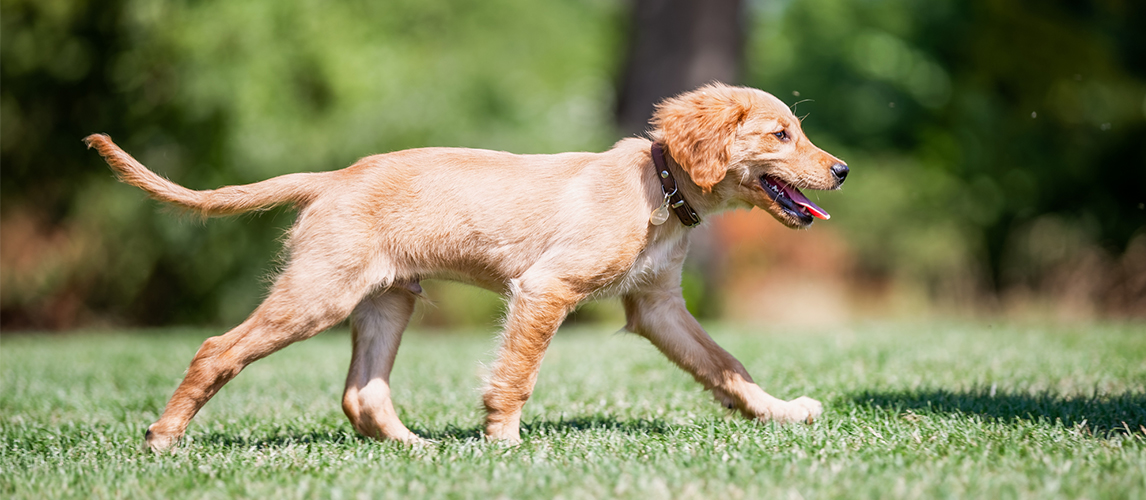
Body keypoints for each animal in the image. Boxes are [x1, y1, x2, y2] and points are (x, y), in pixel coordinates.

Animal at [84, 81, 848, 449]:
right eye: (782, 135)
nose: (841, 170)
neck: (657, 186)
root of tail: (334, 176)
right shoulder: (545, 288)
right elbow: (518, 373)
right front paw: (505, 444)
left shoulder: (658, 307)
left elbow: (727, 367)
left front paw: (781, 412)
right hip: (319, 293)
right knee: (218, 348)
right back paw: (163, 439)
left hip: (387, 299)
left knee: (362, 395)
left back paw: (418, 451)